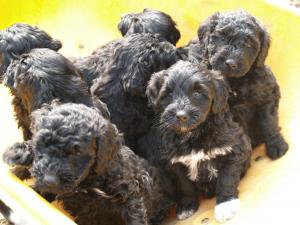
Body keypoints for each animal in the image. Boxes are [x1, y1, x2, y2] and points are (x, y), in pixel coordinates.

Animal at [10, 103, 175, 225]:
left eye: (77, 152)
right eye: (42, 143)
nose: (50, 180)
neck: (88, 181)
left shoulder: (129, 193)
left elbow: (134, 216)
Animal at [141, 60, 251, 222]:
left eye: (197, 94)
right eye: (169, 94)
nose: (181, 115)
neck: (192, 134)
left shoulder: (234, 147)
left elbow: (226, 178)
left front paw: (225, 204)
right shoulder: (174, 162)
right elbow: (184, 185)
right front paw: (187, 206)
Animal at [183, 10, 288, 158]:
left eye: (248, 44)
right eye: (222, 38)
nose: (231, 63)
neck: (235, 81)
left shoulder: (268, 94)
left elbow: (270, 121)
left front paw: (277, 144)